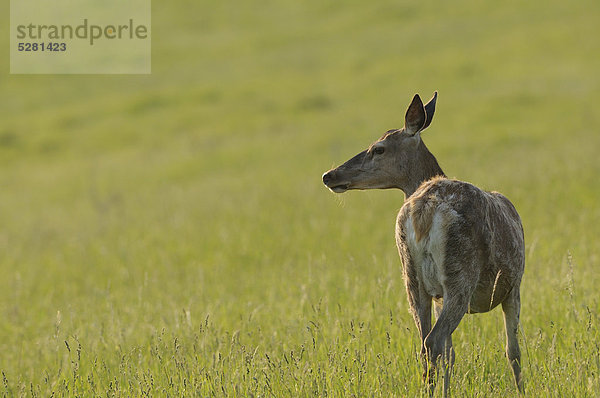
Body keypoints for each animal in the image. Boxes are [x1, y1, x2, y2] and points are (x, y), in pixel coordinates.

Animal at [322, 92, 524, 394]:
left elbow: (454, 355)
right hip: (460, 276)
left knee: (427, 344)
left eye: (378, 148)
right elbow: (513, 352)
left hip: (412, 278)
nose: (330, 175)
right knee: (433, 341)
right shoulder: (514, 284)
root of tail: (425, 209)